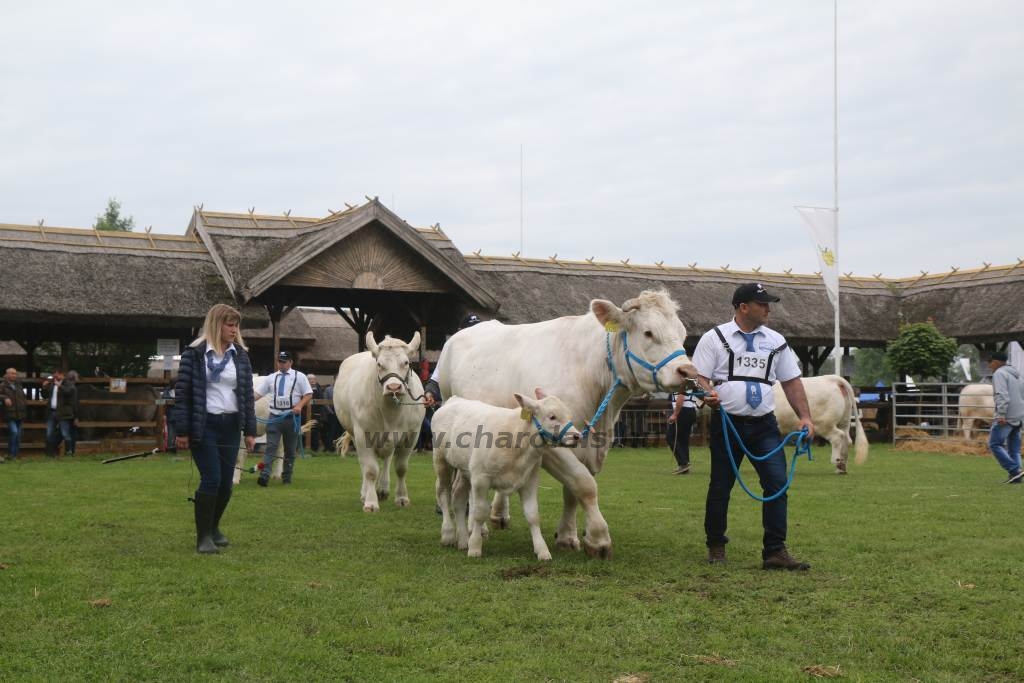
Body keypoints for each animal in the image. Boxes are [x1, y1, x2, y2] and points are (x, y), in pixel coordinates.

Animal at [331, 331, 419, 511]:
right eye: (379, 364)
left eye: (406, 362)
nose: (393, 388)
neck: (391, 413)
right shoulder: (362, 434)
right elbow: (370, 470)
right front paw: (370, 502)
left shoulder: (412, 435)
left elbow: (401, 468)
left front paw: (402, 497)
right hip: (354, 434)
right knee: (364, 464)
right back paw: (366, 493)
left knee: (387, 459)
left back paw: (383, 489)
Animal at [428, 389, 581, 561]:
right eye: (552, 416)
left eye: (568, 415)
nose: (578, 436)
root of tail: (454, 400)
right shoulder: (481, 478)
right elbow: (480, 513)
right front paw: (475, 547)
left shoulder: (530, 479)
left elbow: (533, 515)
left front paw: (542, 550)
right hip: (440, 459)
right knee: (443, 493)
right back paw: (448, 534)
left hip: (464, 468)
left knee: (458, 497)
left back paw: (462, 540)